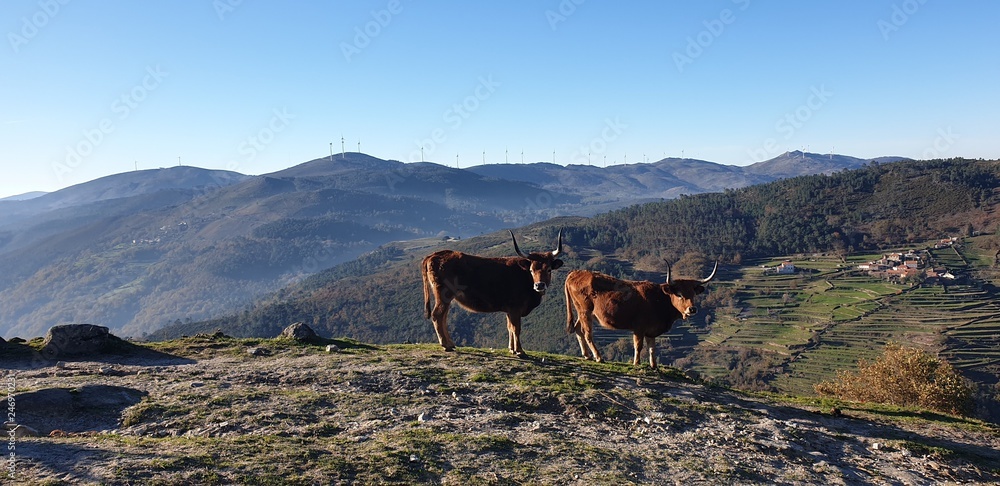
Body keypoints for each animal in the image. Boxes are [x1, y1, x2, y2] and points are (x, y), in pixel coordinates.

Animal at [420, 230, 564, 356]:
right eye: (531, 270)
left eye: (549, 269)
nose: (539, 285)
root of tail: (433, 255)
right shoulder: (515, 308)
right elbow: (516, 328)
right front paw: (520, 351)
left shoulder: (509, 310)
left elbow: (509, 327)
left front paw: (511, 349)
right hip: (444, 295)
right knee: (437, 315)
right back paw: (446, 345)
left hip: (447, 298)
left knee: (443, 317)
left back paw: (450, 343)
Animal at [564, 262, 720, 368]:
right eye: (679, 294)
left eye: (693, 293)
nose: (692, 309)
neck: (659, 299)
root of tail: (575, 273)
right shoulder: (639, 327)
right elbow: (638, 346)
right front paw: (636, 363)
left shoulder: (651, 330)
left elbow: (652, 348)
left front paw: (654, 366)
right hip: (585, 311)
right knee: (587, 333)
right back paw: (598, 357)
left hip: (582, 312)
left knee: (578, 329)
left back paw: (587, 355)